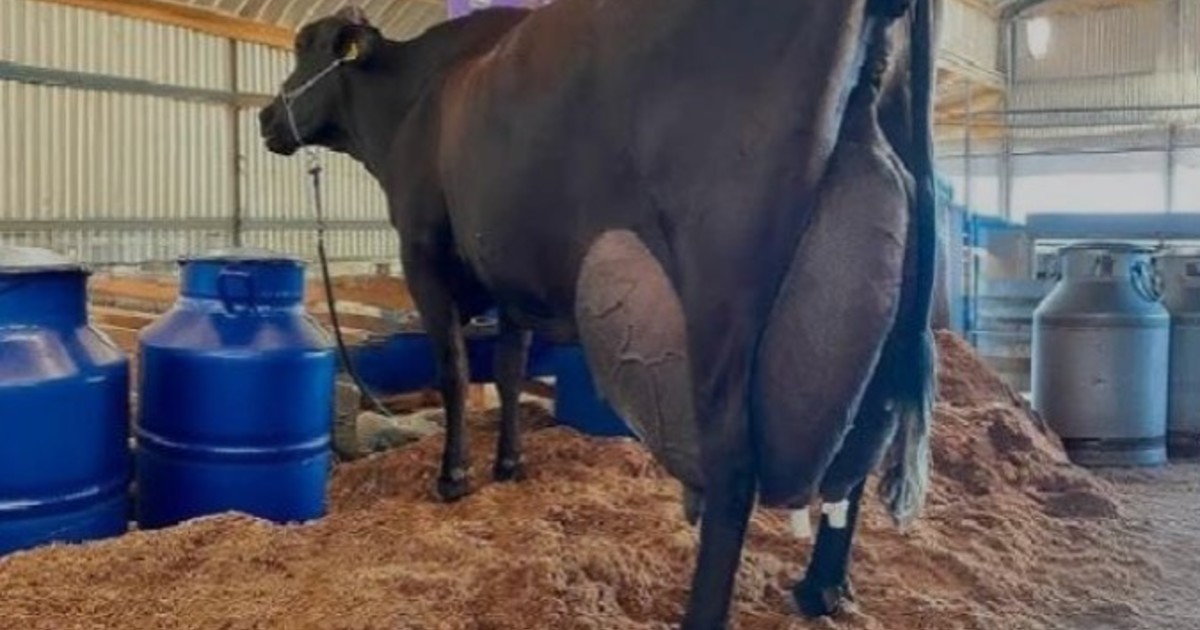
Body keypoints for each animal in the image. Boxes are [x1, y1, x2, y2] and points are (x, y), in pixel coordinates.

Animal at [259, 0, 941, 627]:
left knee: (733, 464)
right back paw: (821, 589)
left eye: (307, 48)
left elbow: (454, 372)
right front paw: (510, 464)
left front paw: (454, 477)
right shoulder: (510, 275)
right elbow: (509, 371)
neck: (414, 99)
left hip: (723, 283)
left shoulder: (423, 251)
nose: (267, 117)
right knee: (862, 442)